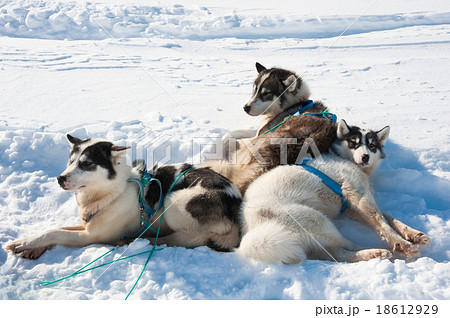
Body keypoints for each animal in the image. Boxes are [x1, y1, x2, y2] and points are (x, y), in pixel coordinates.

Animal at [5, 135, 241, 258]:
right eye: (70, 161)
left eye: (86, 164)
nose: (60, 178)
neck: (112, 192)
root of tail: (234, 200)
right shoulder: (87, 225)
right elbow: (56, 229)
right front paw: (28, 244)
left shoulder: (93, 236)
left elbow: (54, 232)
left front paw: (29, 243)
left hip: (173, 203)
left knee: (191, 237)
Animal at [237, 119, 430, 264]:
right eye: (354, 143)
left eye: (372, 145)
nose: (365, 157)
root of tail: (249, 228)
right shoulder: (359, 196)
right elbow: (383, 224)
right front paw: (403, 244)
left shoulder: (354, 207)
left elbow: (391, 220)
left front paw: (414, 234)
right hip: (317, 220)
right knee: (347, 244)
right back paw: (383, 251)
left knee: (338, 254)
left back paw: (375, 254)